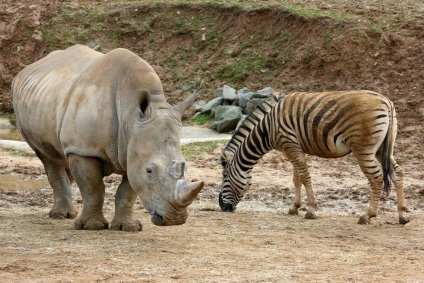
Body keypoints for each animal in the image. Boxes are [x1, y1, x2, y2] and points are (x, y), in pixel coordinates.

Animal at [219, 90, 408, 225]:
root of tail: (387, 101)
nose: (222, 206)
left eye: (225, 176)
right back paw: (403, 215)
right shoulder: (293, 147)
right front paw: (294, 207)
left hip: (363, 149)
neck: (267, 128)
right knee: (398, 172)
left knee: (376, 178)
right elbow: (296, 179)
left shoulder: (290, 145)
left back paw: (367, 216)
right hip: (383, 149)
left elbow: (305, 177)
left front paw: (310, 210)